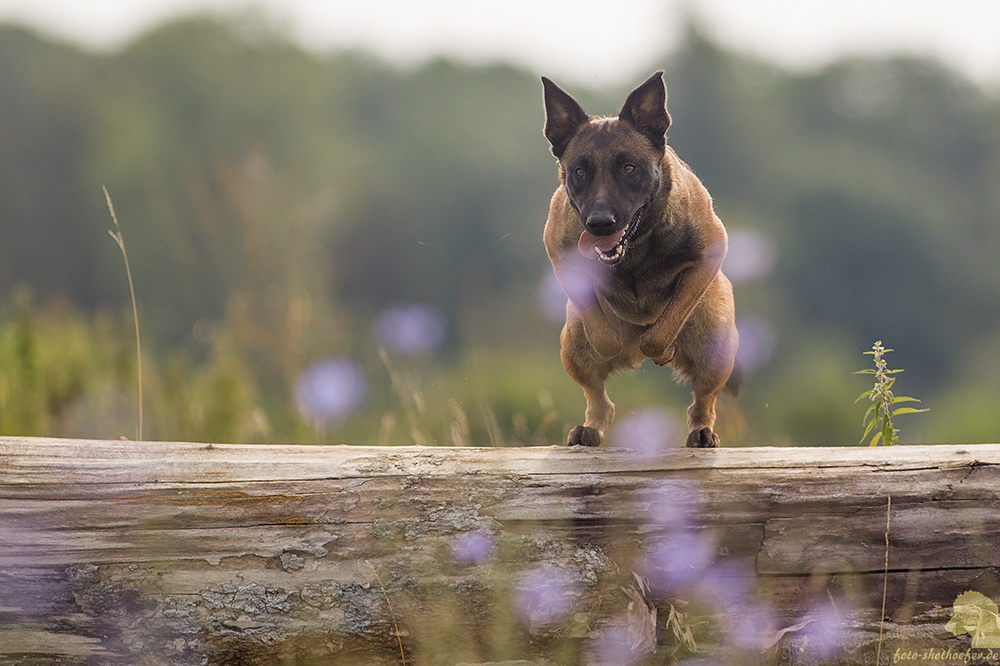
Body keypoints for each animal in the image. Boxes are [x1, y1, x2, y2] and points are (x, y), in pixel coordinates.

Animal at [544, 71, 740, 446]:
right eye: (579, 171)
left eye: (629, 168)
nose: (600, 223)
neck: (636, 245)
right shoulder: (559, 256)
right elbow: (604, 338)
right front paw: (613, 344)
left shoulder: (708, 254)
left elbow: (659, 334)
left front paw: (663, 349)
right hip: (571, 344)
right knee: (599, 400)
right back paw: (589, 428)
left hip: (716, 347)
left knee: (702, 400)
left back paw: (702, 431)